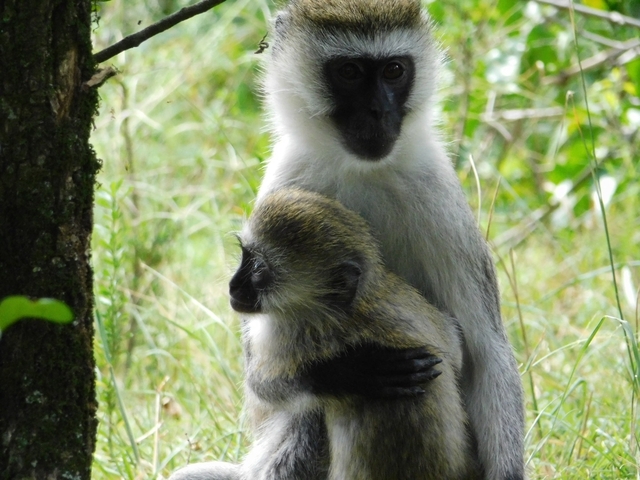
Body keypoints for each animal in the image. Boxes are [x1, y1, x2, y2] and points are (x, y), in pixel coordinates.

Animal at [231, 187, 478, 480]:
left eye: (259, 268)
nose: (233, 286)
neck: (354, 303)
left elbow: (265, 386)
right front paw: (359, 370)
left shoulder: (284, 329)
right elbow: (455, 345)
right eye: (245, 256)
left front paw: (344, 373)